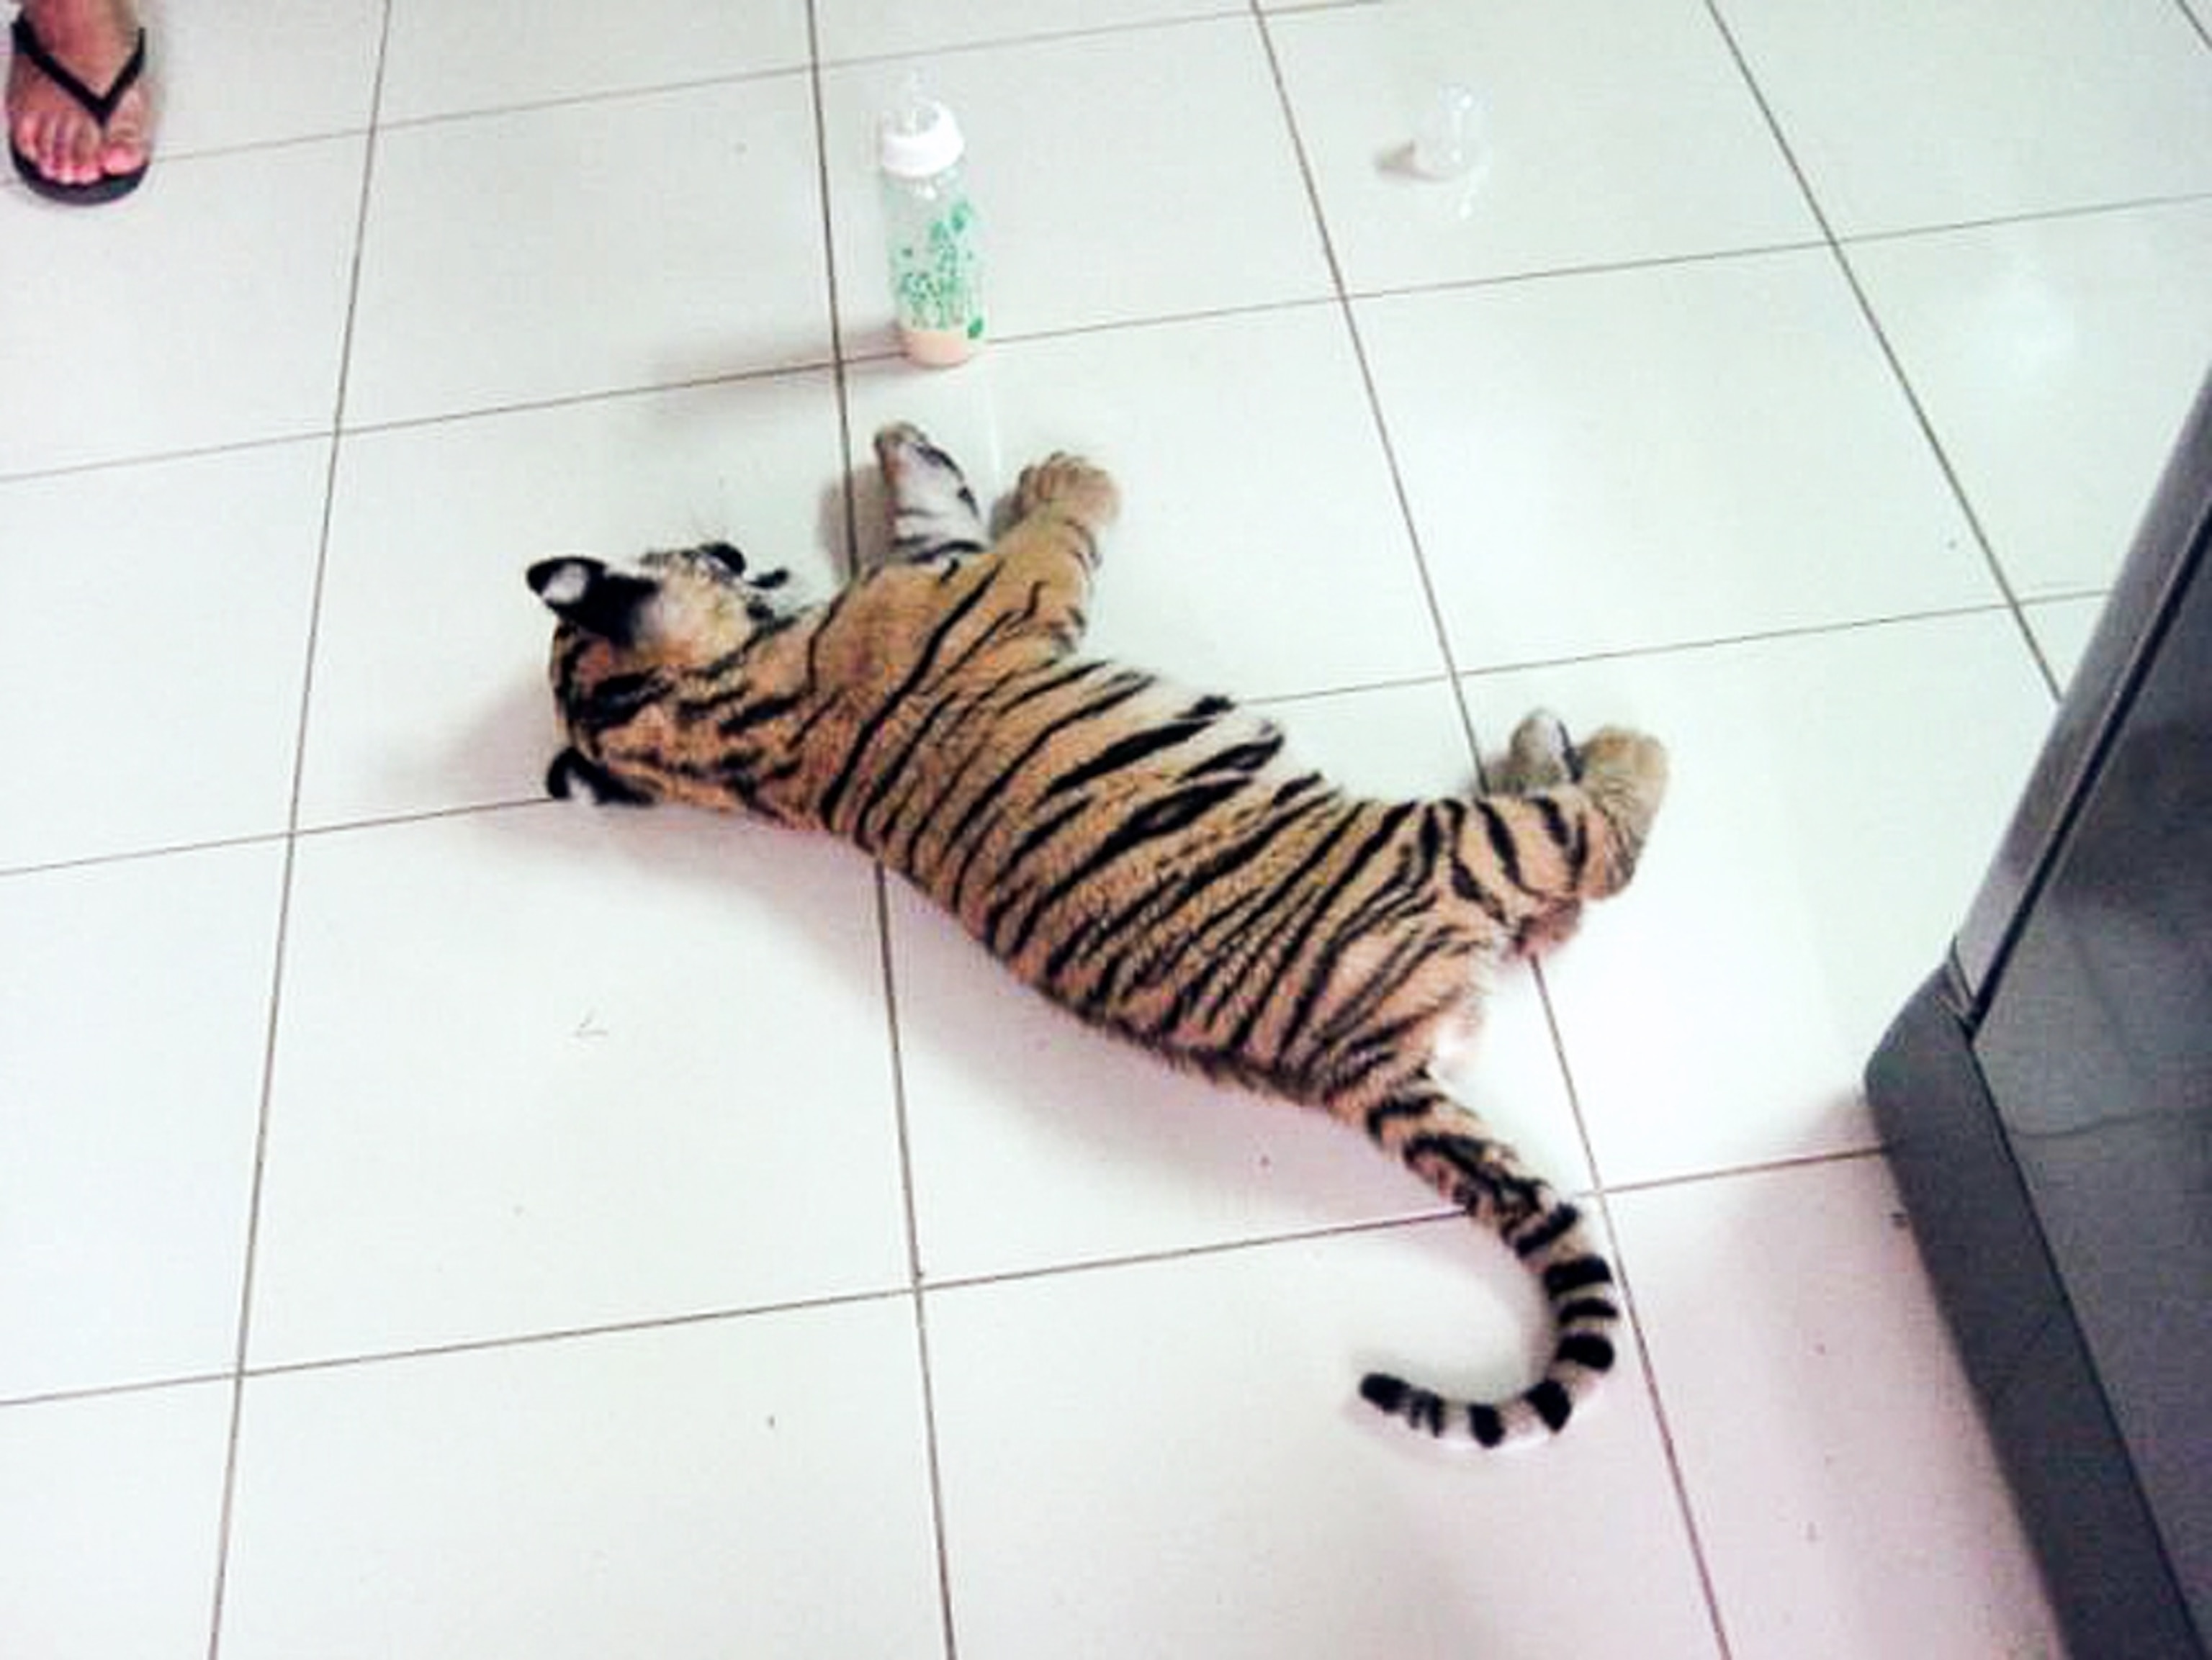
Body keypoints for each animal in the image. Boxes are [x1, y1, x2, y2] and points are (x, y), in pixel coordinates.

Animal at [525, 422, 1669, 1450]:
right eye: (687, 554)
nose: (722, 545)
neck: (713, 727)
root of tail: (1353, 1064)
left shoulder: (936, 571)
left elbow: (928, 513)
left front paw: (902, 442)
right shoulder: (1005, 587)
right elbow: (1055, 527)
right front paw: (1060, 475)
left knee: (1555, 914)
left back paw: (1538, 744)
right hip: (1448, 848)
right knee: (1594, 851)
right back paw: (1617, 742)